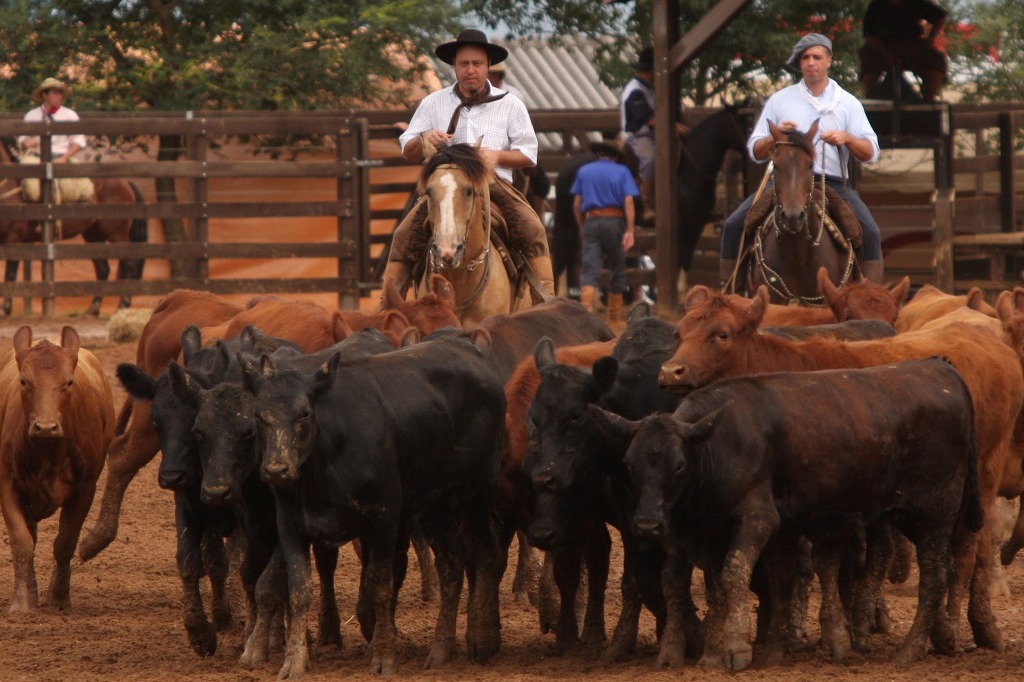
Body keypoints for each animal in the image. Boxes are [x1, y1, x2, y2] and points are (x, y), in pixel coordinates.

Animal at [0, 142, 147, 315]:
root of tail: (126, 183)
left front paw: (5, 308)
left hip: (117, 234)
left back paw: (122, 305)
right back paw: (93, 308)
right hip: (94, 237)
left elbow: (10, 273)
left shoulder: (14, 239)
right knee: (103, 269)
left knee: (129, 264)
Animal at [0, 327, 114, 606]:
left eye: (69, 382)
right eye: (24, 381)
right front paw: (22, 600)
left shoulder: (85, 490)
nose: (45, 427)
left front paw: (59, 597)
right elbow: (22, 543)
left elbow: (65, 543)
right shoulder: (7, 485)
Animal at [552, 105, 745, 294]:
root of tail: (567, 166)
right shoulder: (682, 227)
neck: (689, 171)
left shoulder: (696, 224)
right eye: (745, 123)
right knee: (562, 256)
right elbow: (678, 261)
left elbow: (686, 261)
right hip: (567, 222)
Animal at [659, 282, 1019, 655]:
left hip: (978, 481)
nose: (673, 370)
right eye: (678, 332)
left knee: (968, 549)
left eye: (723, 333)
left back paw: (960, 627)